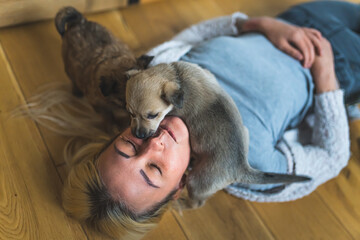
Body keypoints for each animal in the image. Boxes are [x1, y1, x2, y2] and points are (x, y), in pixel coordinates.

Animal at [125, 61, 310, 208]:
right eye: (131, 113)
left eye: (152, 115)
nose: (138, 134)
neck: (177, 77)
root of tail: (241, 167)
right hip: (246, 131)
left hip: (196, 181)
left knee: (197, 203)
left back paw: (180, 205)